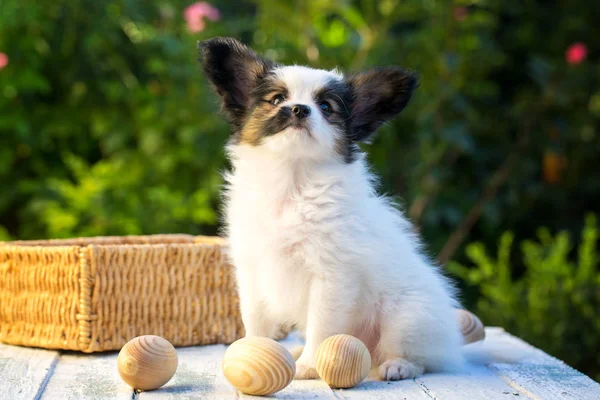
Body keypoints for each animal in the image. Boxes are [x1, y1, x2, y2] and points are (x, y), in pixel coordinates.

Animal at [199, 38, 466, 382]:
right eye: (277, 99)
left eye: (326, 107)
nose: (299, 109)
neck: (293, 183)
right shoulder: (253, 270)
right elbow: (255, 318)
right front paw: (252, 353)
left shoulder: (332, 276)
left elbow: (322, 323)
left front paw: (309, 366)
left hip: (407, 317)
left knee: (421, 357)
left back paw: (397, 366)